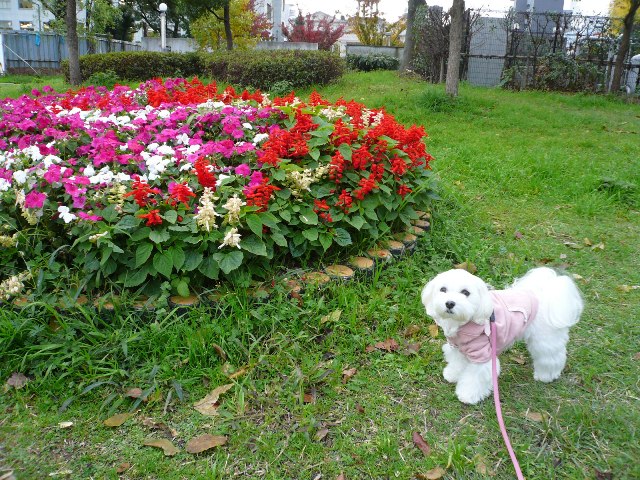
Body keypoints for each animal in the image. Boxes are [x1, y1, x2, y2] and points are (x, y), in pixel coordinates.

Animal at [421, 267, 583, 404]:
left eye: (466, 292)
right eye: (443, 289)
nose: (449, 303)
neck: (462, 324)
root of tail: (544, 295)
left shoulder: (483, 355)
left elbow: (475, 376)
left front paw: (468, 395)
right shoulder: (457, 347)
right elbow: (457, 362)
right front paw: (453, 374)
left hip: (544, 340)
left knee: (551, 356)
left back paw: (546, 375)